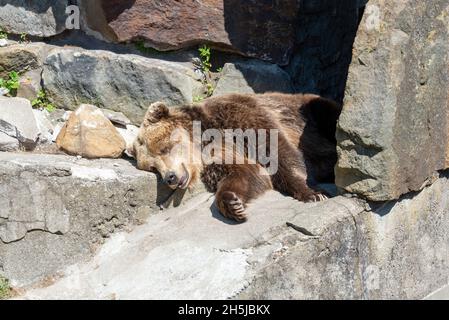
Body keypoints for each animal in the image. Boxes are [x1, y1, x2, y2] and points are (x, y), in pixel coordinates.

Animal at [131, 92, 342, 222]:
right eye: (152, 167)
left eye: (164, 148)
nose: (170, 177)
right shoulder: (219, 155)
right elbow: (246, 173)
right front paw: (233, 204)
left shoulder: (240, 117)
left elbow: (278, 152)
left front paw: (313, 193)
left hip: (310, 112)